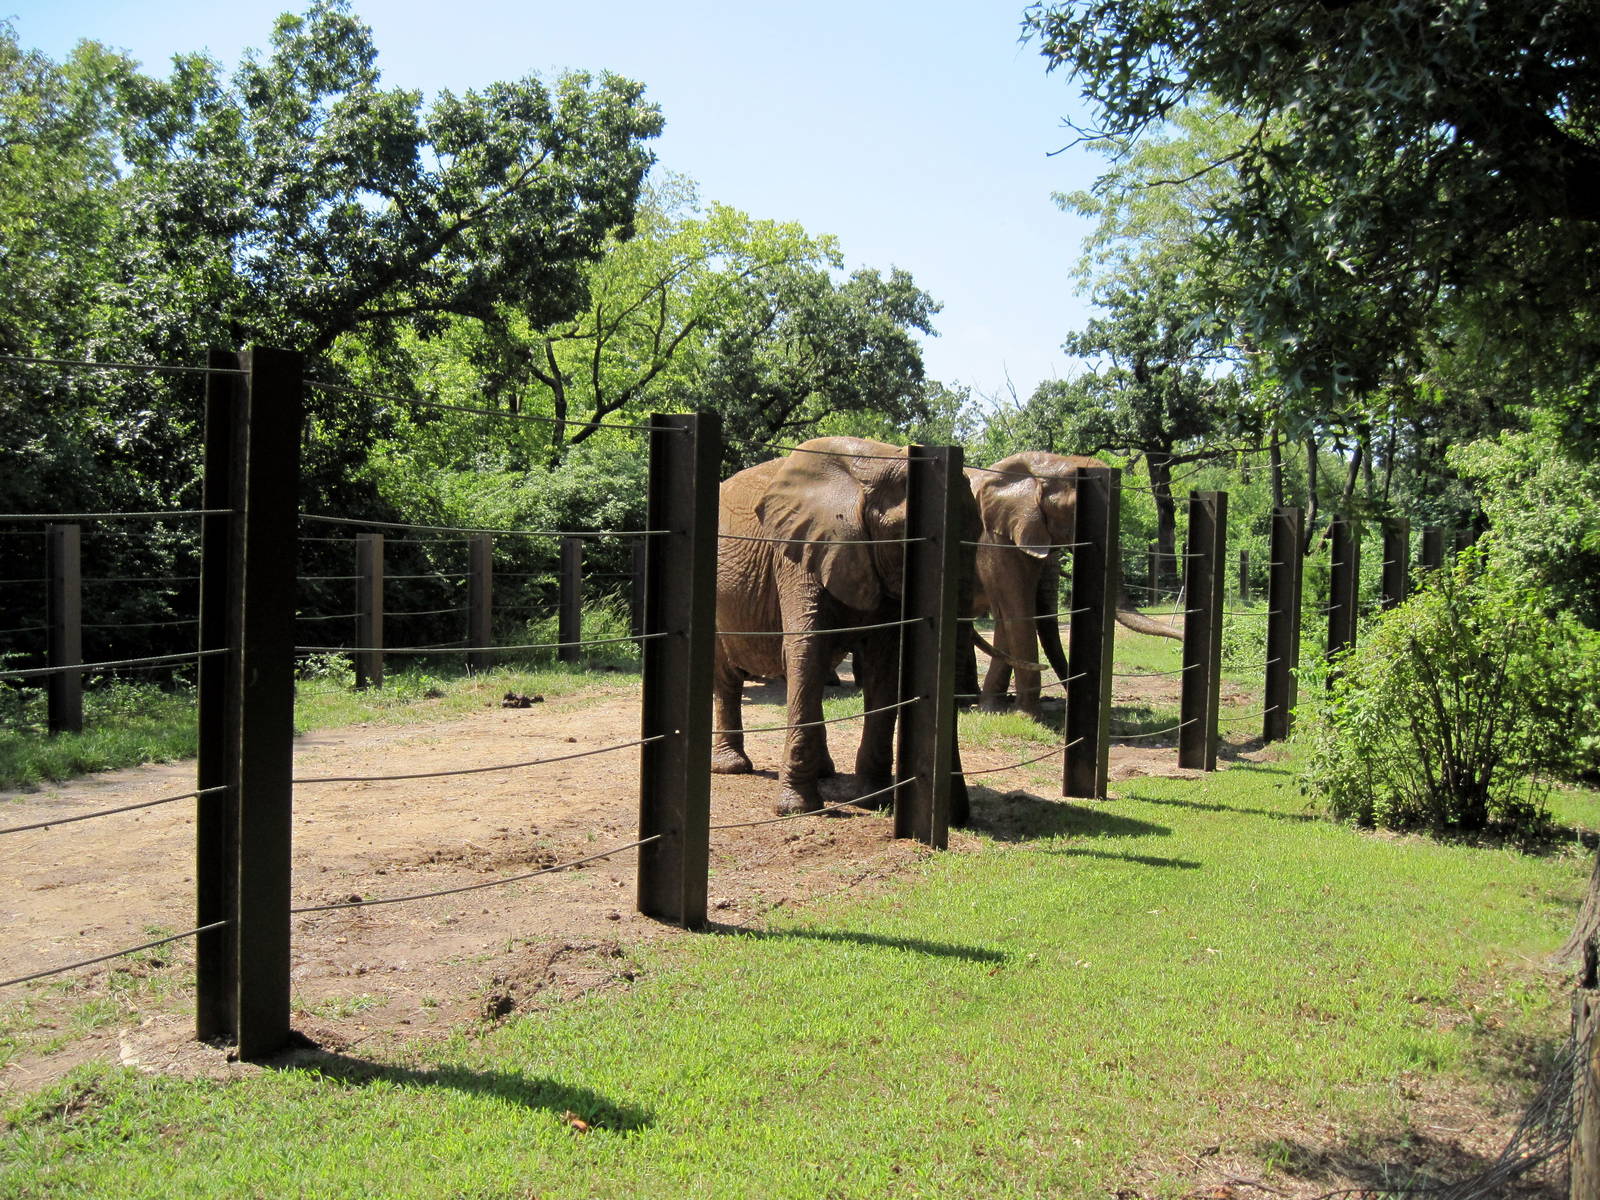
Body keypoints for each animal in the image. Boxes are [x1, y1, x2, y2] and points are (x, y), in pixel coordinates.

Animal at [711, 437, 976, 823]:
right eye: (910, 537)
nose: (959, 817)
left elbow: (885, 663)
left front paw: (871, 799)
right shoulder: (799, 551)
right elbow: (808, 647)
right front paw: (796, 809)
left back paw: (825, 772)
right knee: (730, 673)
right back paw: (732, 767)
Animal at [968, 451, 1183, 718]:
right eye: (1077, 511)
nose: (1182, 638)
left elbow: (1009, 614)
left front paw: (994, 710)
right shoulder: (994, 539)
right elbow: (1015, 610)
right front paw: (1024, 715)